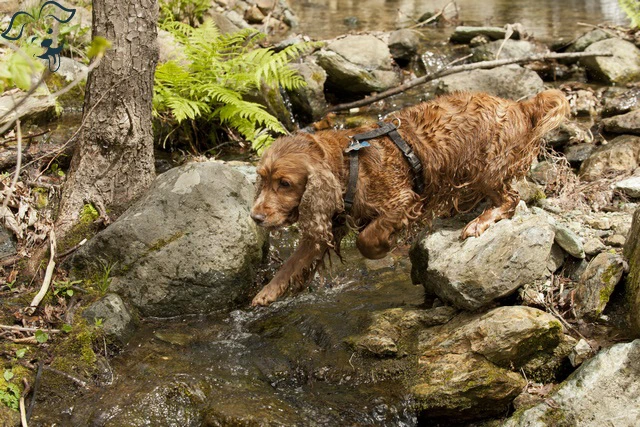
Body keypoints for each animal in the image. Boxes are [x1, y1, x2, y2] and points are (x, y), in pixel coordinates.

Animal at [250, 88, 568, 306]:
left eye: (285, 183)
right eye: (262, 179)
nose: (255, 217)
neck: (347, 165)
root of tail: (519, 105)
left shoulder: (402, 200)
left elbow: (366, 238)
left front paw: (382, 248)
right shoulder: (328, 223)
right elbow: (295, 261)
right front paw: (266, 292)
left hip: (487, 167)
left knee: (510, 199)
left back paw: (480, 221)